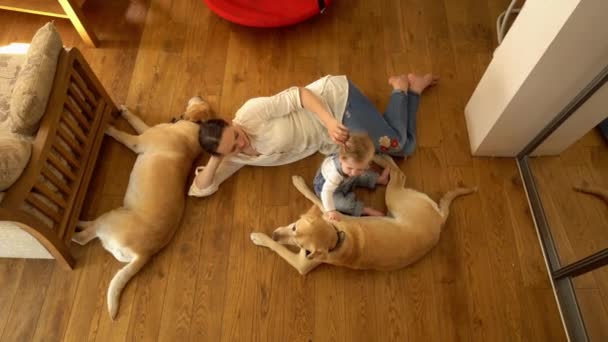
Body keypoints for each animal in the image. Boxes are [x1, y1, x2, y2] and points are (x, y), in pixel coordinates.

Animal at [70, 96, 209, 318]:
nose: (199, 95)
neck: (194, 128)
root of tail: (143, 254)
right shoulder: (147, 130)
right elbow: (137, 120)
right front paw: (125, 112)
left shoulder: (139, 141)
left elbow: (123, 134)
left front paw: (108, 127)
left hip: (110, 219)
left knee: (83, 238)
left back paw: (73, 230)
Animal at [249, 156, 478, 276]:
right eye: (294, 226)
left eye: (302, 247)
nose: (275, 233)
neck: (337, 237)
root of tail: (440, 219)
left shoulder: (301, 264)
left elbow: (278, 247)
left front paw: (260, 237)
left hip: (395, 197)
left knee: (398, 173)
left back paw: (381, 157)